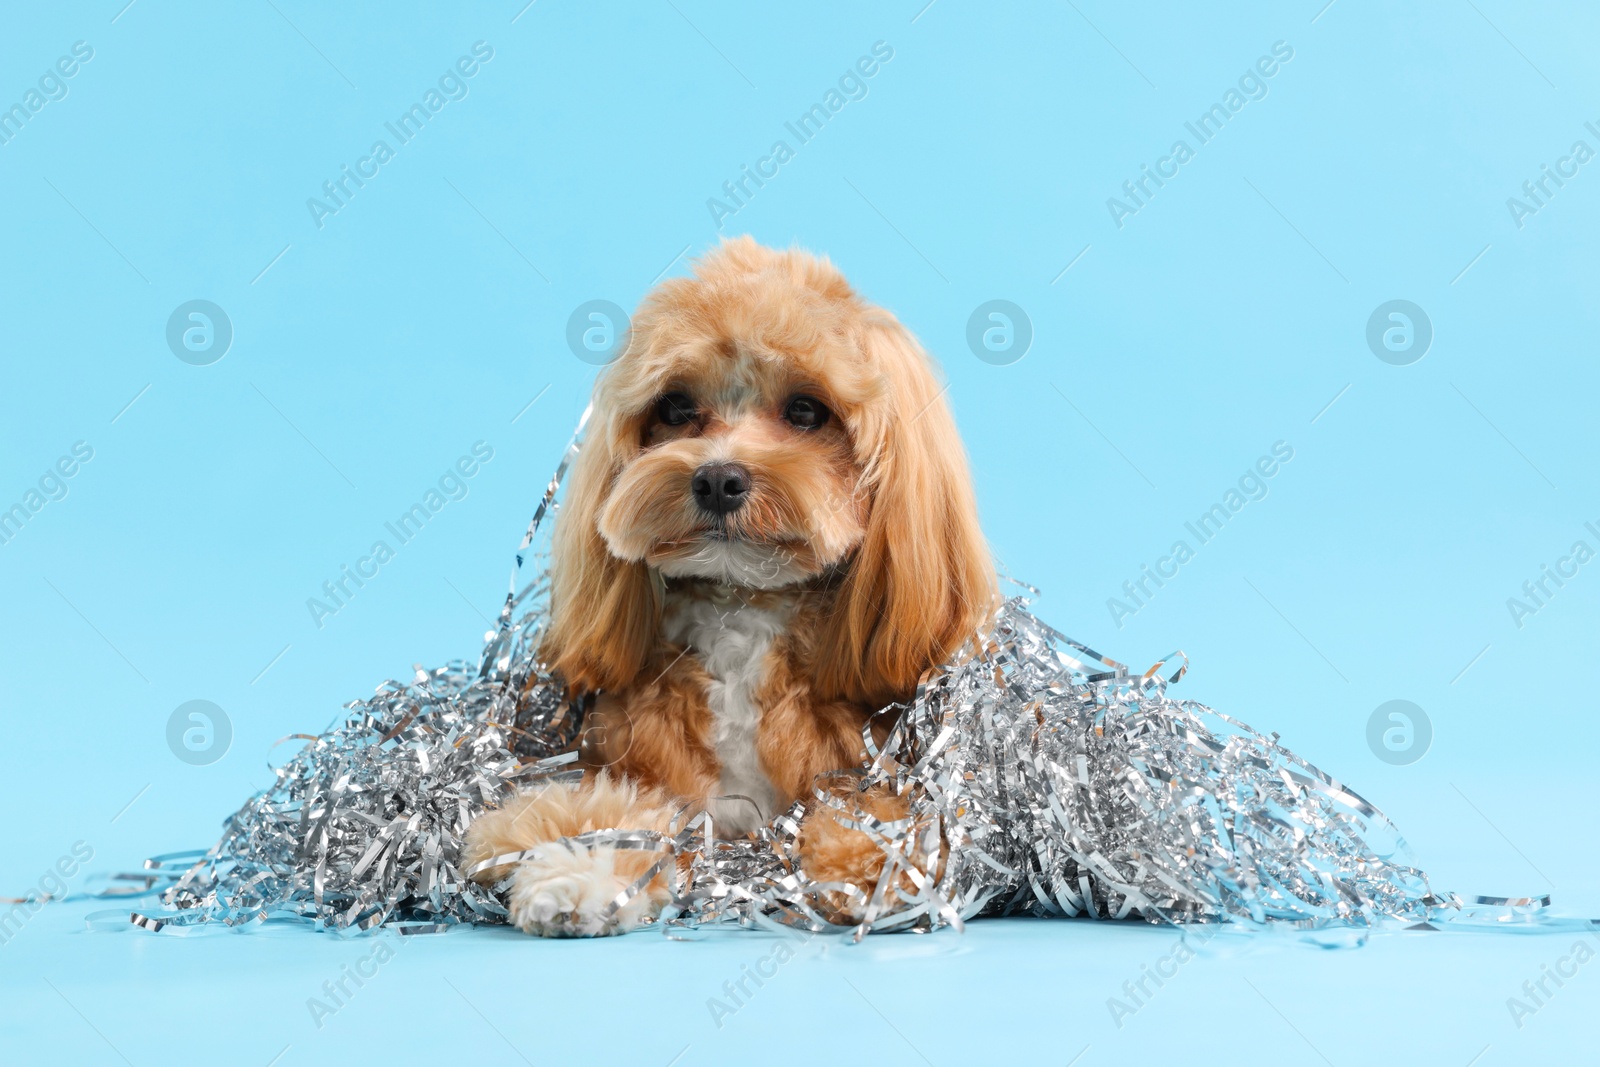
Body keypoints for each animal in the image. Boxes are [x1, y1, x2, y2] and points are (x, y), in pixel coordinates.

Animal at [457, 235, 992, 934]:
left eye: (806, 410)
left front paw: (868, 868)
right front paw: (580, 874)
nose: (716, 479)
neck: (741, 611)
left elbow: (886, 815)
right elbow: (616, 816)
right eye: (676, 407)